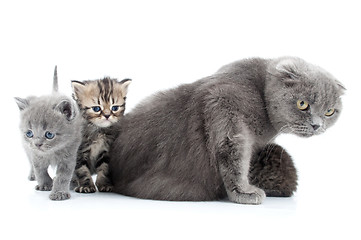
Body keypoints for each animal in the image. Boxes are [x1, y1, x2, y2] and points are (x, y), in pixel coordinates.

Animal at [15, 66, 82, 201]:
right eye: (29, 133)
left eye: (49, 135)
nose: (37, 144)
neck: (52, 152)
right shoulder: (35, 155)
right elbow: (39, 170)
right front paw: (45, 184)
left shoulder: (69, 155)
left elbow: (63, 176)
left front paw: (59, 192)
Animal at [109, 56, 344, 204]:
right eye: (302, 104)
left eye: (330, 111)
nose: (317, 125)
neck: (260, 94)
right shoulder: (225, 106)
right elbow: (233, 156)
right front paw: (244, 192)